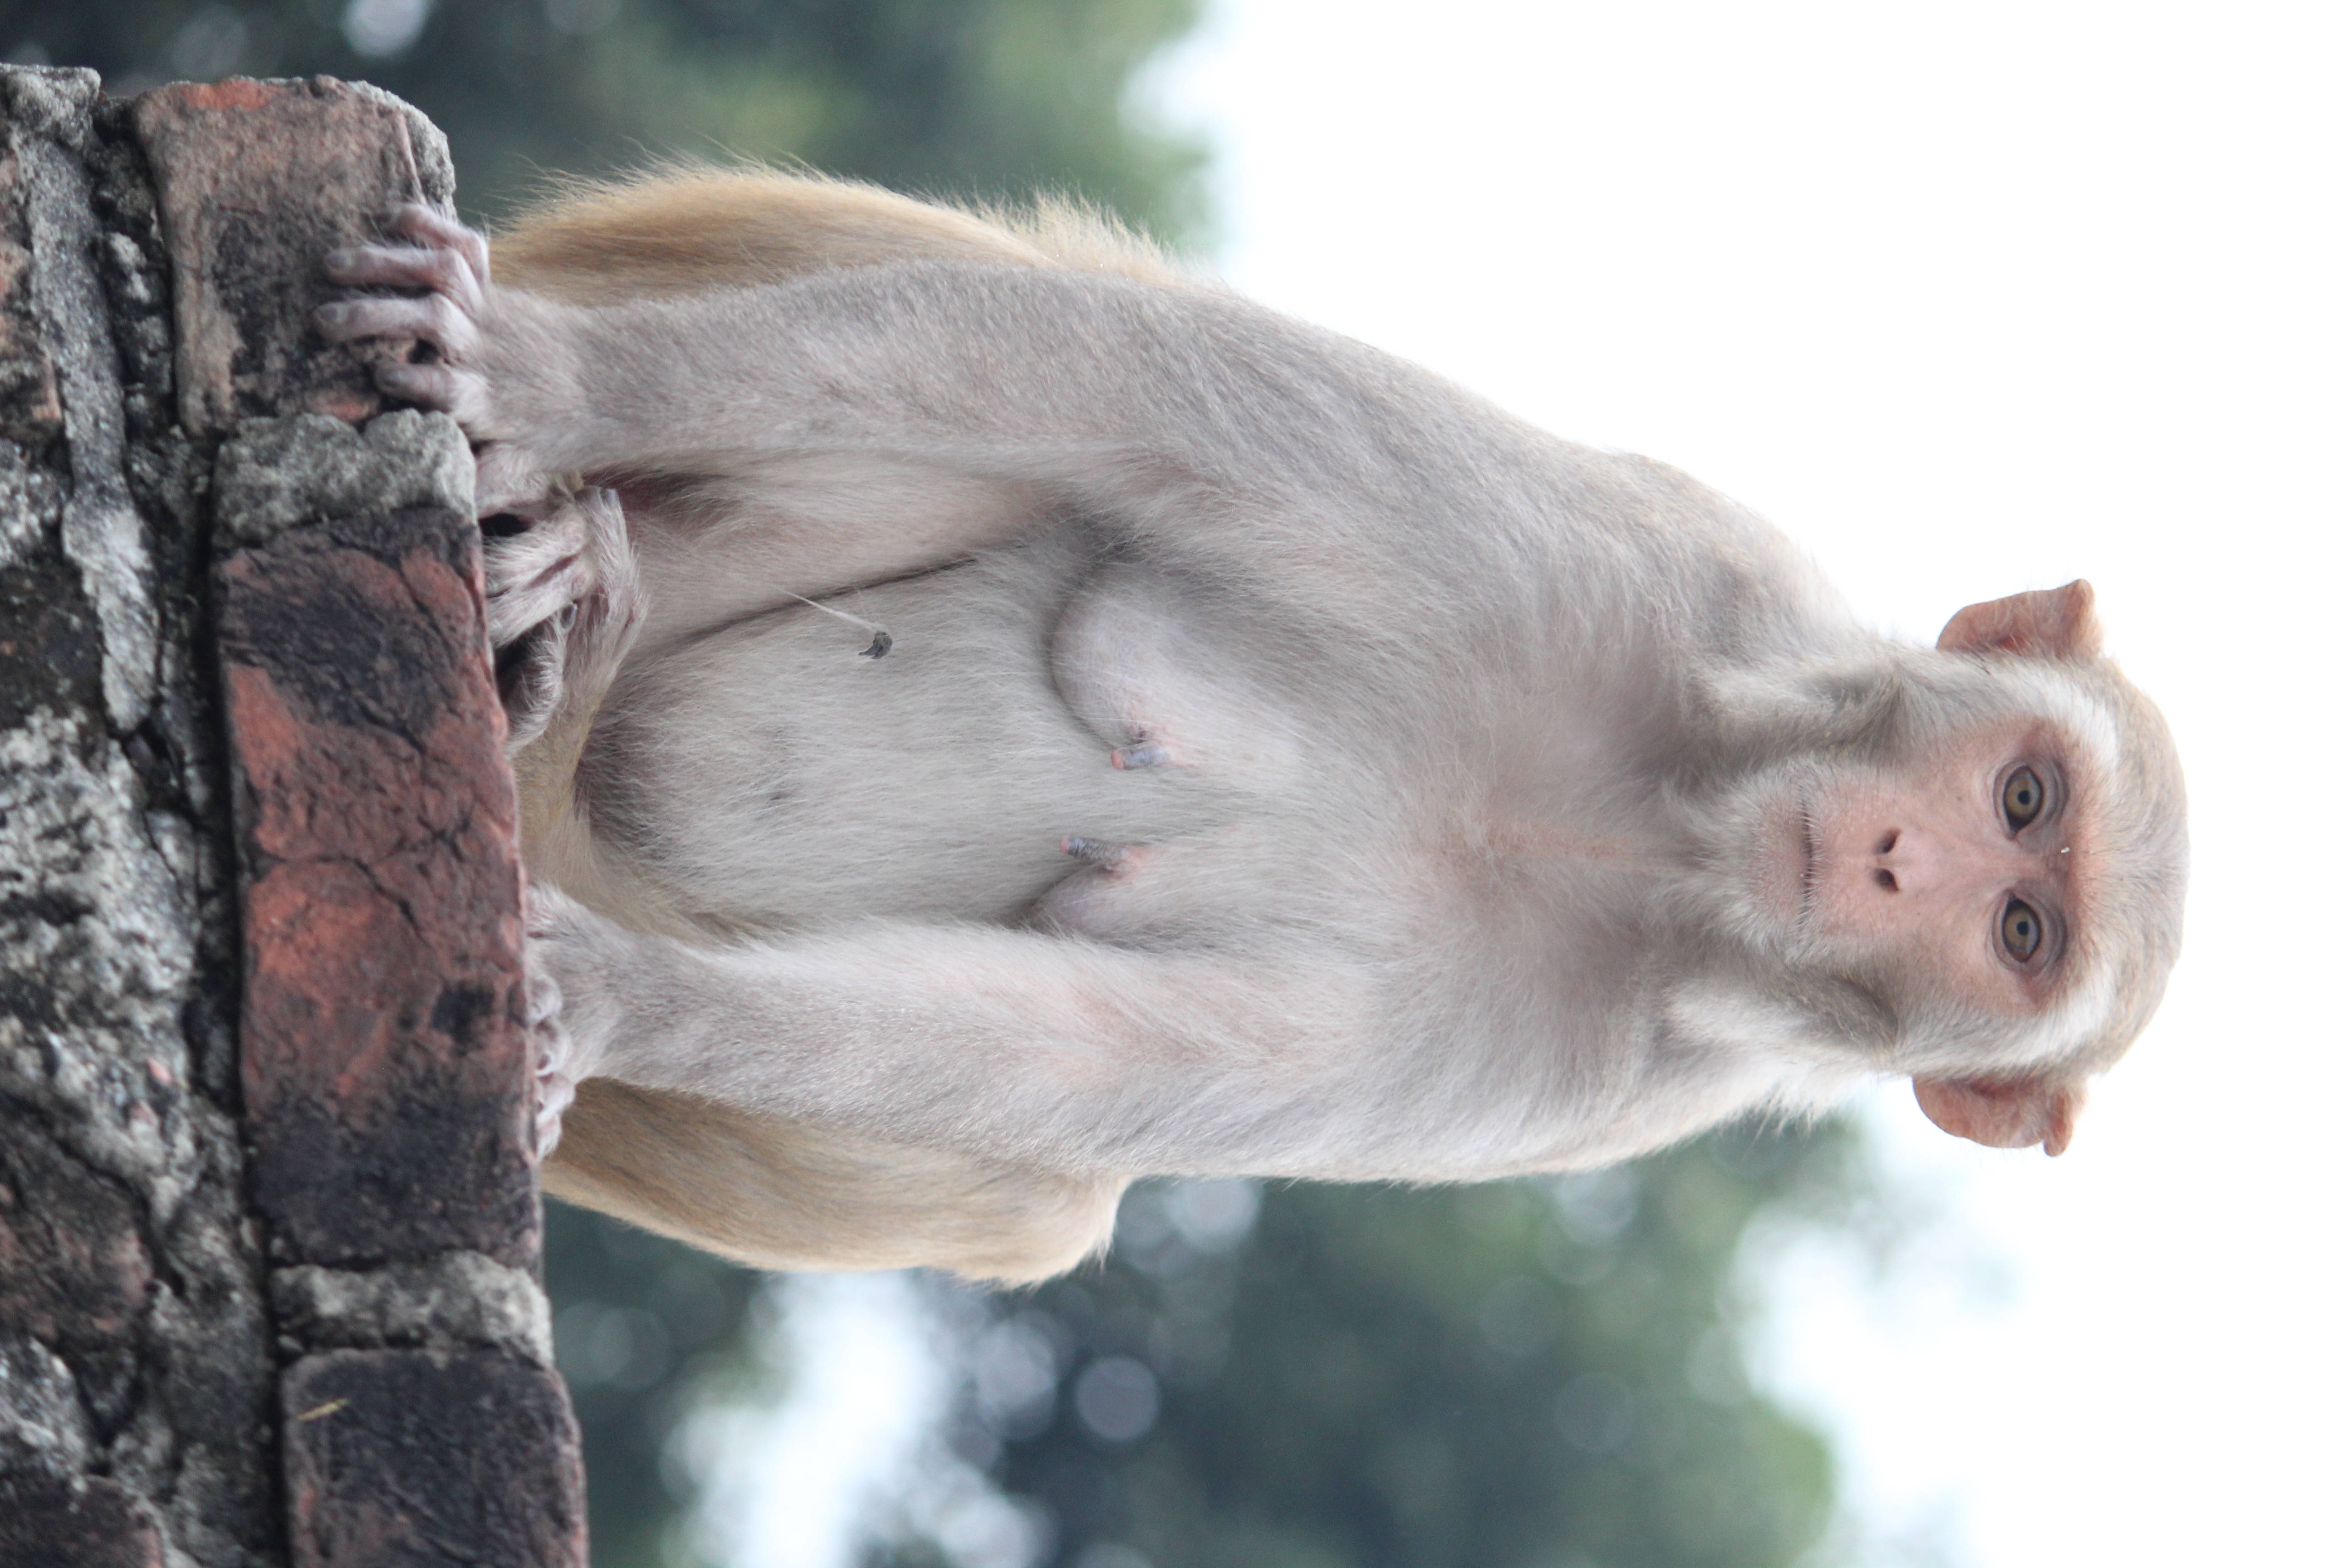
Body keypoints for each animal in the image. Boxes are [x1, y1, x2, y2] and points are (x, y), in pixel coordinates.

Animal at [313, 170, 2189, 1283]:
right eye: (2024, 797)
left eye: (2019, 924)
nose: (1891, 857)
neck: (1668, 835)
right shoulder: (1645, 570)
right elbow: (1128, 389)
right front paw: (550, 380)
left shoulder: (1591, 1068)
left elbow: (1097, 1059)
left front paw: (622, 995)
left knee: (1033, 1191)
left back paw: (568, 680)